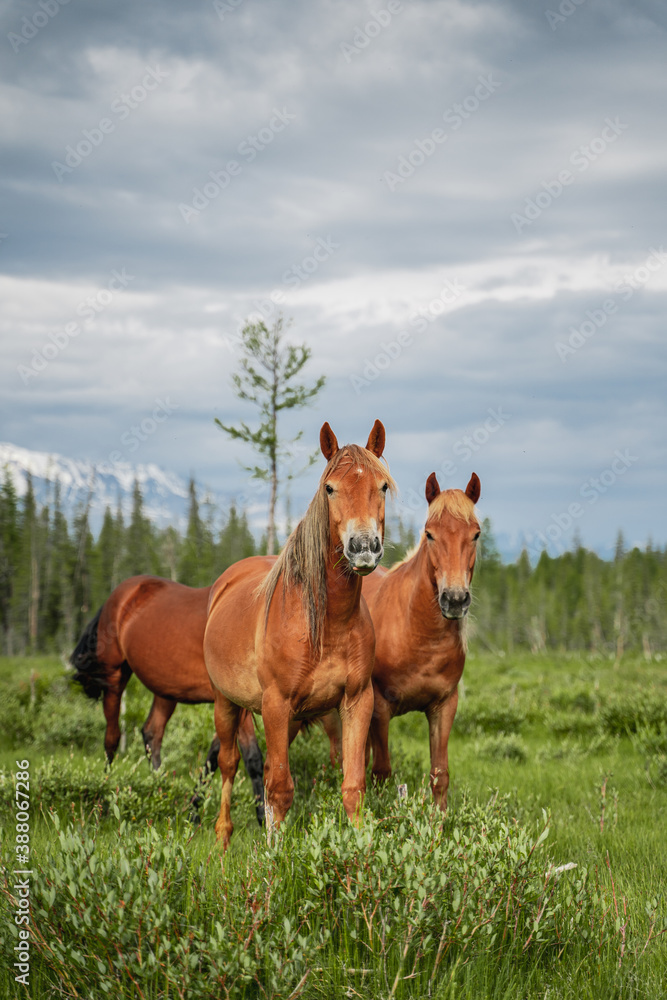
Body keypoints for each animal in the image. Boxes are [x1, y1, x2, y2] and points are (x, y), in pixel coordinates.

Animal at [70, 576, 265, 823]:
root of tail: (118, 596)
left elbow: (213, 756)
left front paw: (193, 811)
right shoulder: (236, 703)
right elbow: (252, 758)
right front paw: (263, 820)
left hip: (166, 692)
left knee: (152, 733)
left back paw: (159, 792)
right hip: (115, 679)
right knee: (112, 738)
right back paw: (104, 797)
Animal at [203, 420, 395, 847]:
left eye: (382, 486)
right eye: (330, 488)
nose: (363, 548)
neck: (326, 624)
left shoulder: (357, 702)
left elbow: (352, 785)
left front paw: (361, 852)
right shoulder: (275, 704)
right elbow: (279, 789)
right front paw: (274, 856)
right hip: (227, 703)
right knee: (229, 763)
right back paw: (222, 842)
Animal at [314, 472, 481, 813]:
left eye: (476, 535)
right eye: (430, 534)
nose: (455, 599)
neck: (418, 635)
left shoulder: (444, 706)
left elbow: (439, 775)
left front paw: (439, 822)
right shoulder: (380, 707)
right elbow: (381, 772)